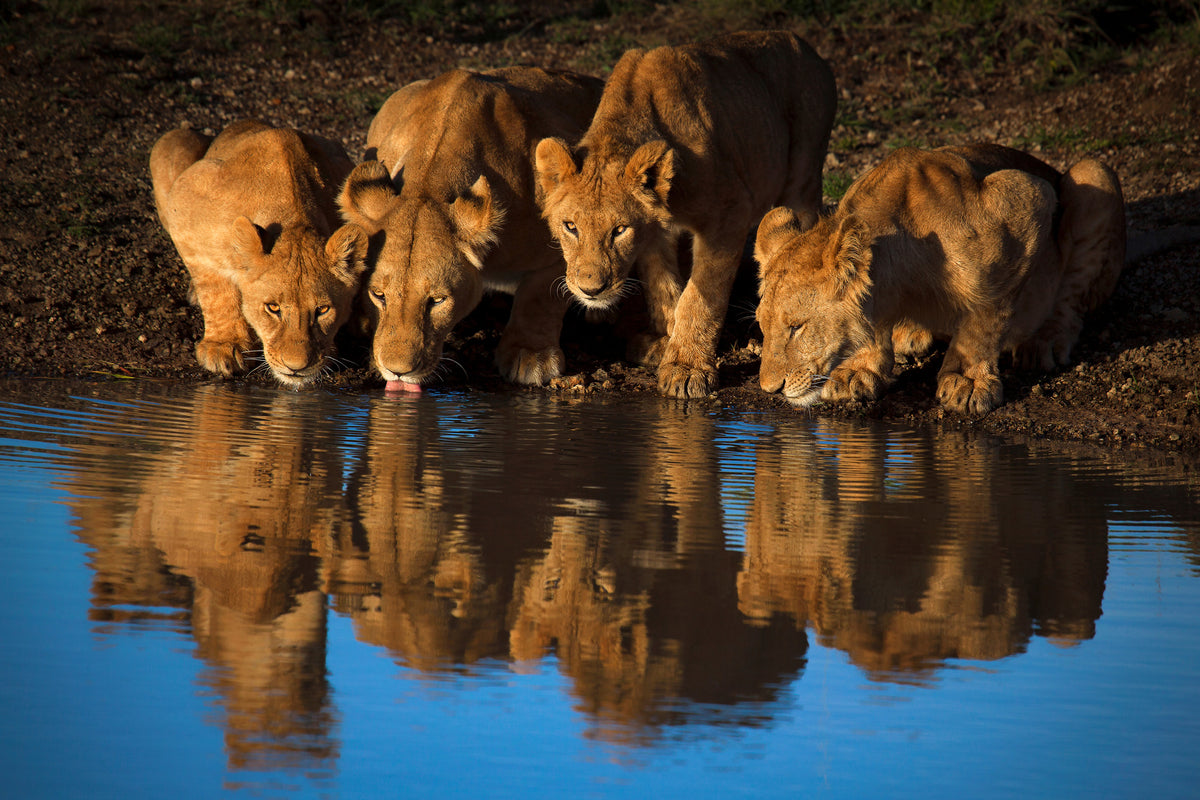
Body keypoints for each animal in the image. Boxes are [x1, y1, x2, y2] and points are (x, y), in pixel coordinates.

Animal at [150, 119, 368, 386]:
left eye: (323, 310)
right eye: (272, 308)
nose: (296, 367)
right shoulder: (185, 200)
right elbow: (215, 288)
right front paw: (224, 345)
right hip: (171, 142)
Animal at [337, 66, 604, 390]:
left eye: (437, 300)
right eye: (378, 295)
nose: (397, 371)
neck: (429, 181)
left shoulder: (561, 242)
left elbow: (540, 298)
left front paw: (531, 356)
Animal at [534, 30, 837, 398]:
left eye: (619, 230)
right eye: (570, 226)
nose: (591, 290)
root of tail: (805, 44)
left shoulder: (729, 213)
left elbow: (701, 296)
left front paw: (687, 368)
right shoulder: (654, 232)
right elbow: (663, 288)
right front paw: (666, 342)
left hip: (804, 174)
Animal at [754, 143, 1126, 415]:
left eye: (797, 327)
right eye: (762, 326)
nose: (770, 389)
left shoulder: (1026, 199)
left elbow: (986, 315)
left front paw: (968, 380)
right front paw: (860, 368)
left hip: (1094, 175)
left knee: (1071, 300)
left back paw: (1043, 341)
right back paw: (911, 334)